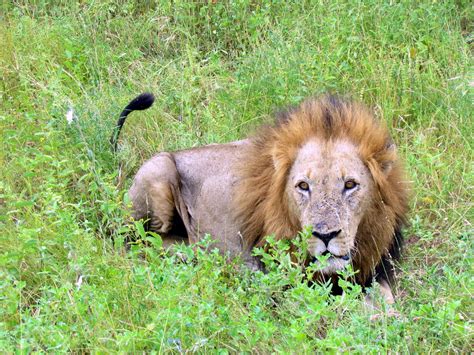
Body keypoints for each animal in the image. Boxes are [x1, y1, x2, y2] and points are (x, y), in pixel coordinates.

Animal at [113, 93, 410, 304]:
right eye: (303, 186)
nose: (325, 235)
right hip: (159, 167)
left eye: (350, 185)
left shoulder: (373, 271)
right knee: (134, 240)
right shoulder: (290, 278)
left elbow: (387, 302)